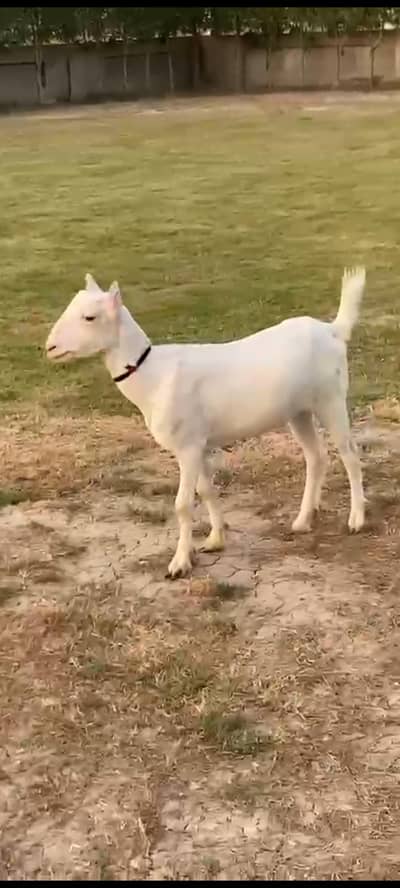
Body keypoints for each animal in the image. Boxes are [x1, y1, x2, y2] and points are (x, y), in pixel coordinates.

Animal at [46, 267, 366, 579]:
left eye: (89, 317)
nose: (50, 347)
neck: (153, 377)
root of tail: (333, 329)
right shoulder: (196, 443)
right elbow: (207, 490)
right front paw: (215, 539)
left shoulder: (187, 446)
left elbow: (183, 505)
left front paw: (179, 564)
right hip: (298, 411)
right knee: (316, 456)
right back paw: (303, 519)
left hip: (331, 397)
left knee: (349, 454)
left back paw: (356, 519)